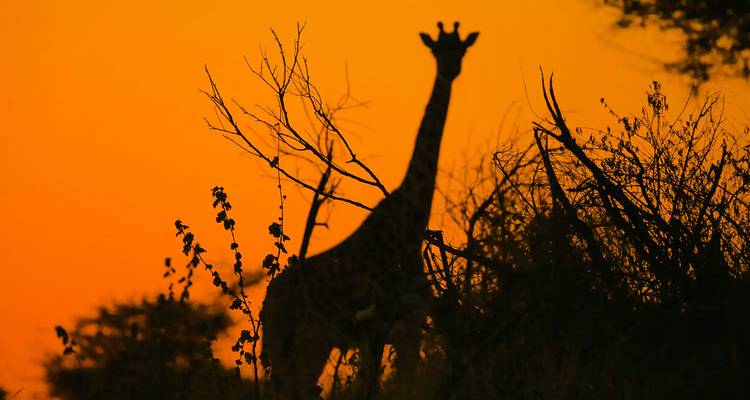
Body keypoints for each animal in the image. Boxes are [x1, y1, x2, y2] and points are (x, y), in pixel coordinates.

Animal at [260, 22, 478, 399]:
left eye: (462, 49)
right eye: (436, 50)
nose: (451, 69)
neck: (408, 228)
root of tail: (266, 305)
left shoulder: (410, 323)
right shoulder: (379, 323)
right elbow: (372, 387)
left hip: (300, 347)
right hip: (298, 343)